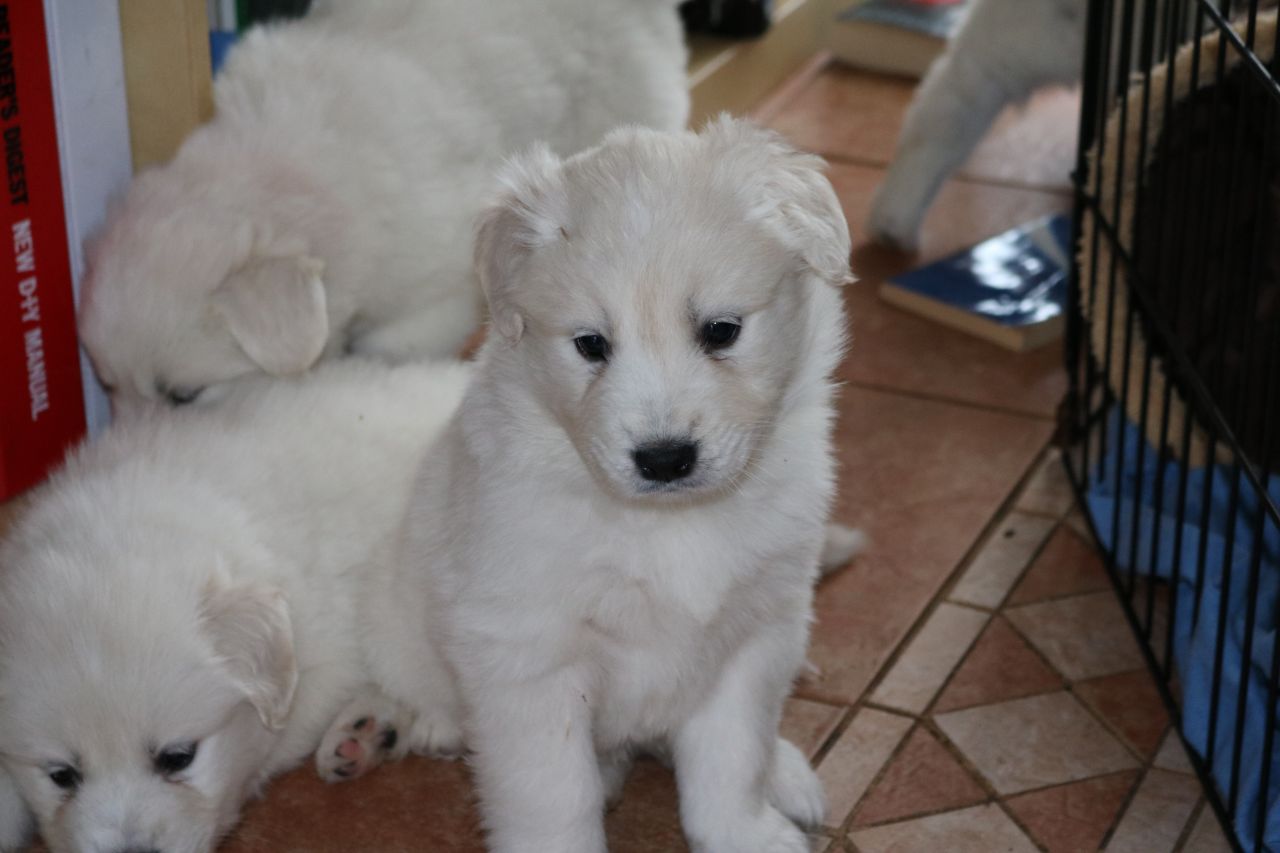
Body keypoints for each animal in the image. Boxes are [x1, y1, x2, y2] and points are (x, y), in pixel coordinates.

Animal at [366, 114, 855, 850]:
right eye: (590, 344)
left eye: (722, 330)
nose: (664, 458)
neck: (668, 523)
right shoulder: (528, 662)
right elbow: (554, 800)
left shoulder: (754, 632)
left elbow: (732, 759)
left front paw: (746, 832)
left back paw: (788, 773)